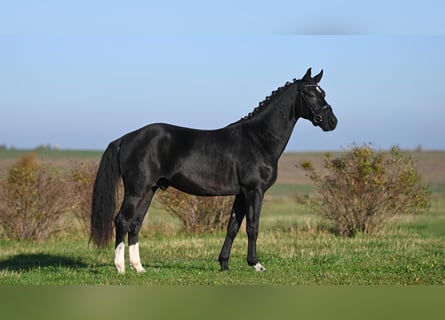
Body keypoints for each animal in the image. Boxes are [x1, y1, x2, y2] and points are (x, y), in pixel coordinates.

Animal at [90, 67, 336, 272]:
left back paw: (139, 268)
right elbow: (252, 227)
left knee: (135, 223)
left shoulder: (241, 193)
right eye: (310, 94)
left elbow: (233, 227)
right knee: (122, 220)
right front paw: (256, 264)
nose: (332, 121)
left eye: (323, 92)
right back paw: (121, 268)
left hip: (149, 190)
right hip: (136, 190)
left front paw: (224, 264)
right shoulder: (254, 190)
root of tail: (126, 138)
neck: (258, 139)